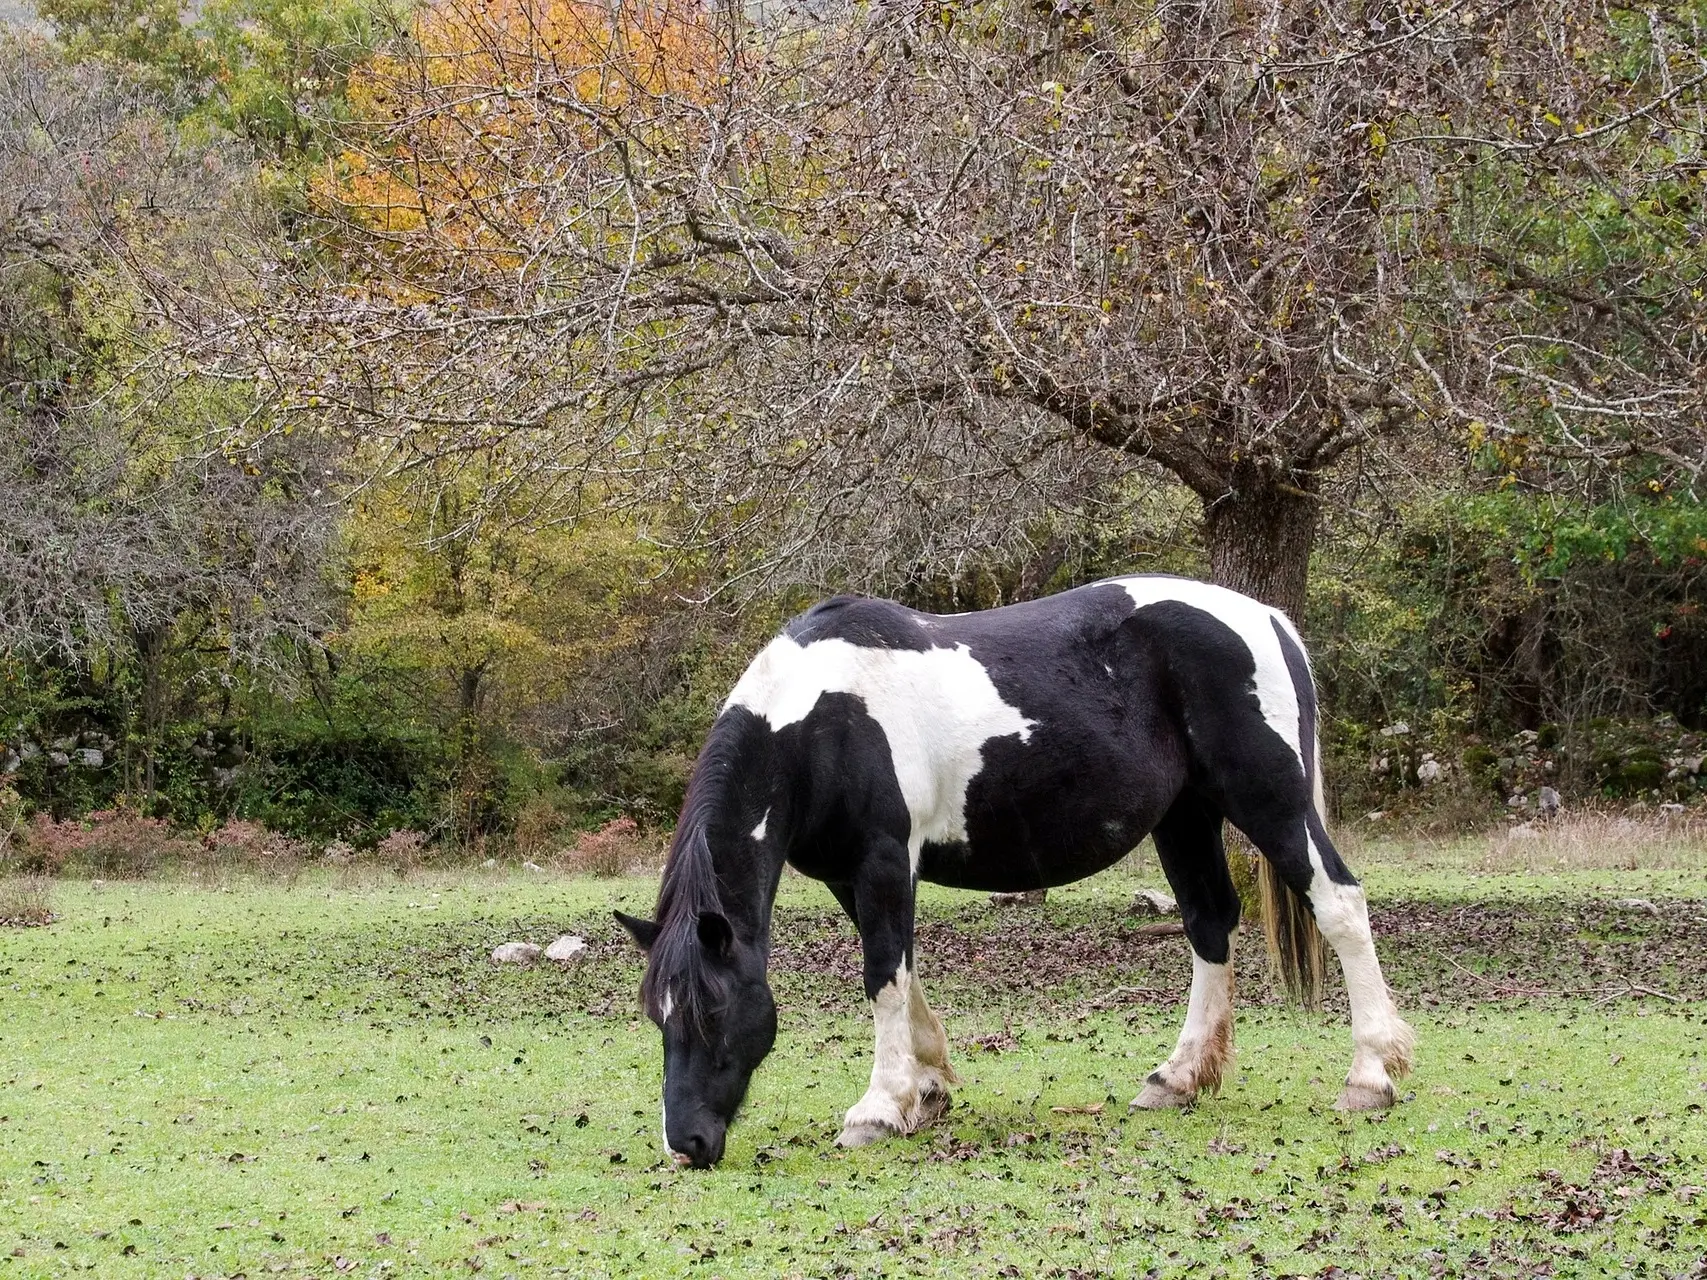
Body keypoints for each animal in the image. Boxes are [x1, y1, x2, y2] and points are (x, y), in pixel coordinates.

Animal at [614, 580, 1413, 1174]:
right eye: (658, 1015)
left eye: (711, 1013)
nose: (687, 1144)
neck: (821, 717)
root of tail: (1266, 619)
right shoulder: (853, 874)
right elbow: (902, 970)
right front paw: (928, 1087)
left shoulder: (882, 860)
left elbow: (881, 976)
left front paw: (878, 1109)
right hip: (1185, 817)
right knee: (1209, 923)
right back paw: (1177, 1077)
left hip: (1267, 799)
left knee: (1338, 903)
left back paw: (1369, 1075)